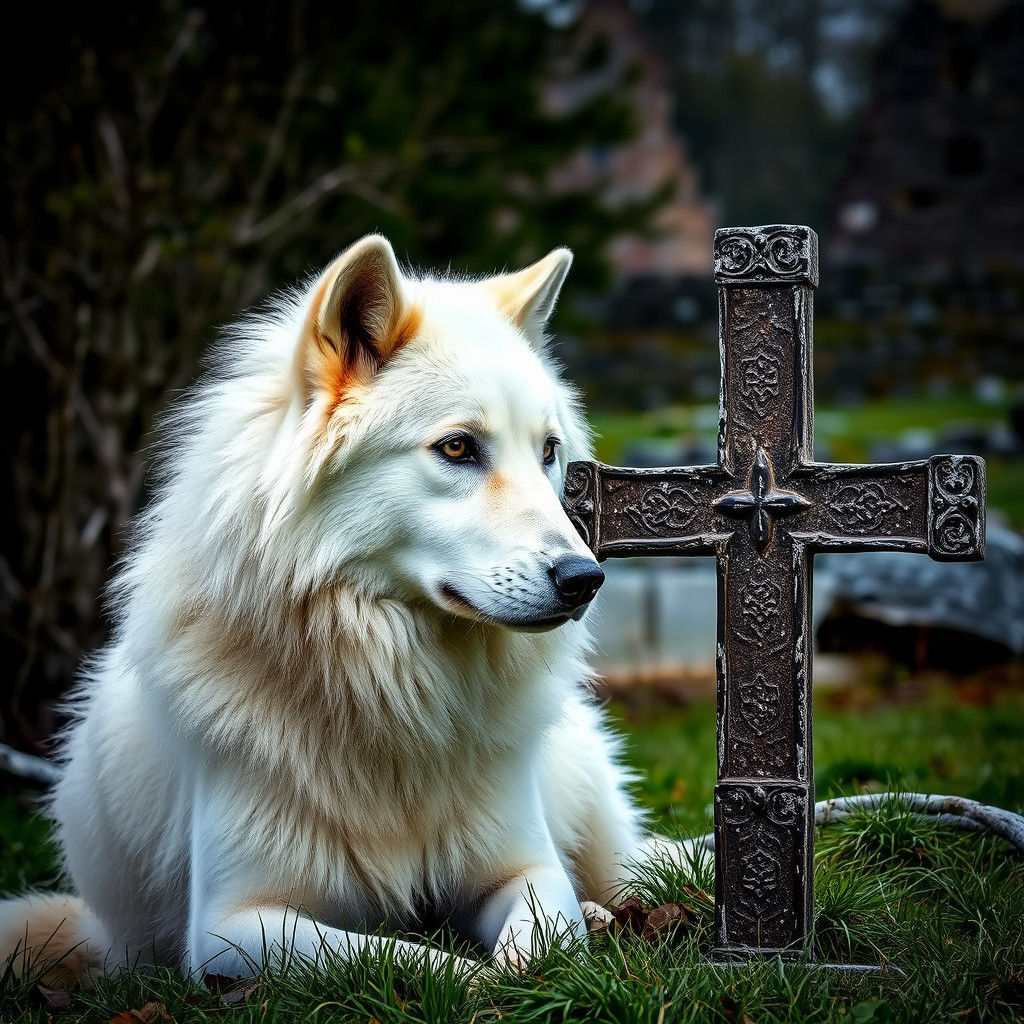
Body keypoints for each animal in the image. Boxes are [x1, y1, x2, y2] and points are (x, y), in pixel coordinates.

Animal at [1, 236, 682, 985]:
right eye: (458, 447)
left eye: (548, 453)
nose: (585, 579)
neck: (389, 685)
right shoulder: (230, 927)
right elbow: (407, 958)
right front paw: (482, 975)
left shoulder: (525, 866)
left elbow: (548, 932)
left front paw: (534, 963)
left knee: (626, 873)